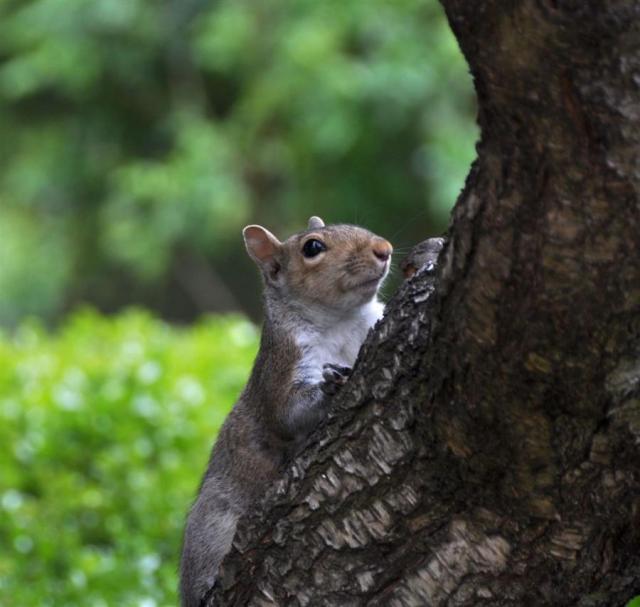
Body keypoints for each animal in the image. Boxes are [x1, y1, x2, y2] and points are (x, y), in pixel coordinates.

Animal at [178, 216, 392, 604]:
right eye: (312, 247)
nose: (384, 249)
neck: (342, 321)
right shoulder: (283, 364)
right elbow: (287, 414)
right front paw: (330, 386)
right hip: (214, 523)